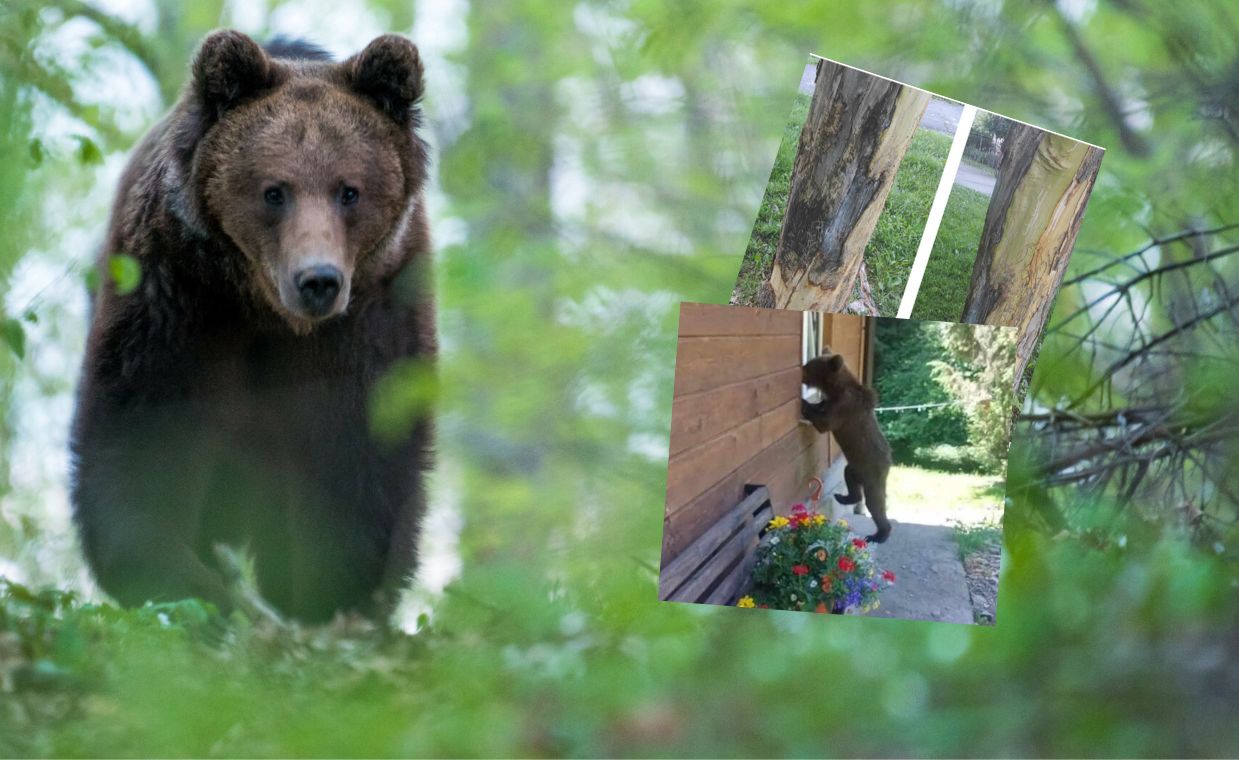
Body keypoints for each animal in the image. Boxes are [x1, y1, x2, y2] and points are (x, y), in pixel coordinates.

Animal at [70, 31, 436, 622]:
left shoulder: (371, 321)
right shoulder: (177, 301)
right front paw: (197, 594)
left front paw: (325, 606)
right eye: (274, 190)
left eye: (349, 190)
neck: (265, 310)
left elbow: (358, 467)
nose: (318, 280)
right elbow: (142, 447)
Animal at [802, 352, 892, 543]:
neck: (836, 388)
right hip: (856, 467)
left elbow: (824, 423)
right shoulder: (832, 401)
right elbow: (822, 407)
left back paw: (879, 534)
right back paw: (844, 497)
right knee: (850, 478)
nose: (801, 370)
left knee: (875, 502)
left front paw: (804, 403)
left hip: (873, 471)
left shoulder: (844, 408)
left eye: (809, 366)